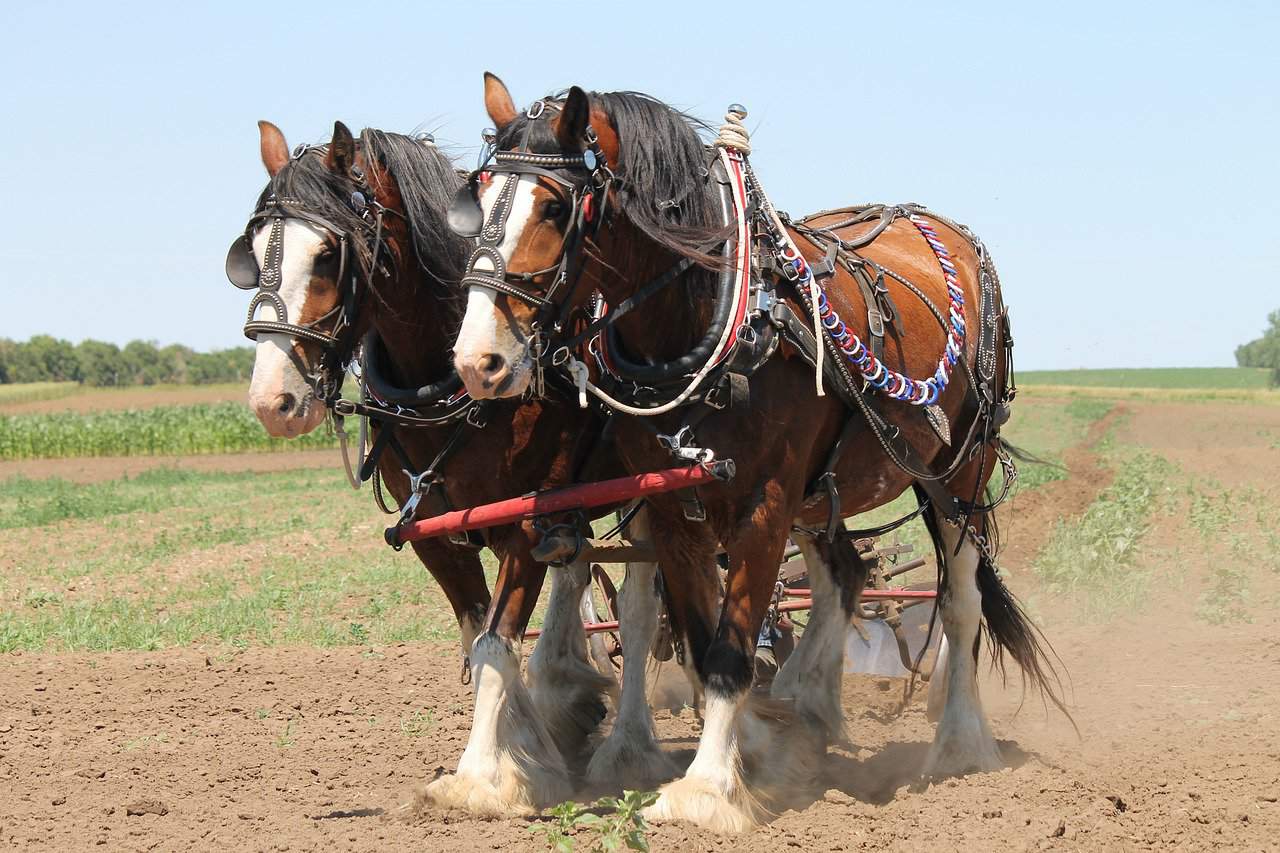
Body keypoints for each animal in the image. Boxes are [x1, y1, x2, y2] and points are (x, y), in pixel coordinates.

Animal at [226, 121, 675, 809]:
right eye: (250, 252)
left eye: (328, 254)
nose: (272, 402)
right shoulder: (435, 535)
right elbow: (478, 637)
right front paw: (530, 743)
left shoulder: (522, 523)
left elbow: (495, 643)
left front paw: (482, 777)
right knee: (576, 574)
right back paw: (567, 693)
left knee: (638, 609)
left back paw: (627, 748)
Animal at [450, 74, 1059, 829]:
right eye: (477, 199)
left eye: (557, 207)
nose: (478, 360)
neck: (714, 318)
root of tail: (940, 227)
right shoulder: (674, 508)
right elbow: (700, 636)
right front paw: (754, 755)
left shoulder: (766, 504)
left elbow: (731, 652)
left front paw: (707, 789)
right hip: (825, 491)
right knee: (844, 575)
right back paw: (807, 707)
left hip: (957, 472)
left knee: (959, 601)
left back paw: (959, 745)